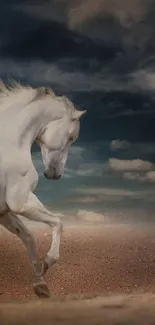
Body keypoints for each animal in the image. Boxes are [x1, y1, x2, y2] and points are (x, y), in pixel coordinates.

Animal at [0, 80, 86, 296]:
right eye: (71, 137)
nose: (55, 174)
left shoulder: (4, 211)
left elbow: (28, 237)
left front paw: (40, 282)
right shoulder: (21, 201)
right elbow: (58, 223)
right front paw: (47, 263)